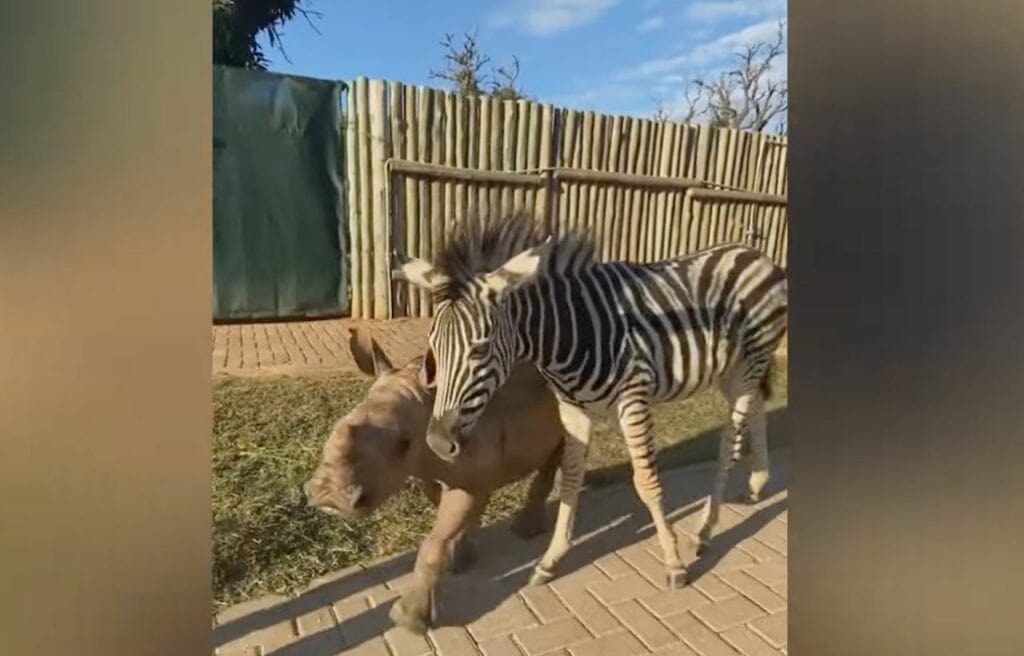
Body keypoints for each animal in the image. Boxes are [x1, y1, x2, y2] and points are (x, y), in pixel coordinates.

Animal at [393, 213, 788, 588]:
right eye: (433, 350)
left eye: (480, 349)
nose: (438, 443)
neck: (569, 334)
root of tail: (755, 253)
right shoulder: (572, 410)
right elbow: (569, 481)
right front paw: (549, 562)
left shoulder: (634, 400)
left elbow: (646, 481)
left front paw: (674, 563)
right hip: (732, 371)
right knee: (756, 407)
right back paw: (757, 484)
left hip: (749, 362)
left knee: (730, 439)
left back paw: (705, 528)